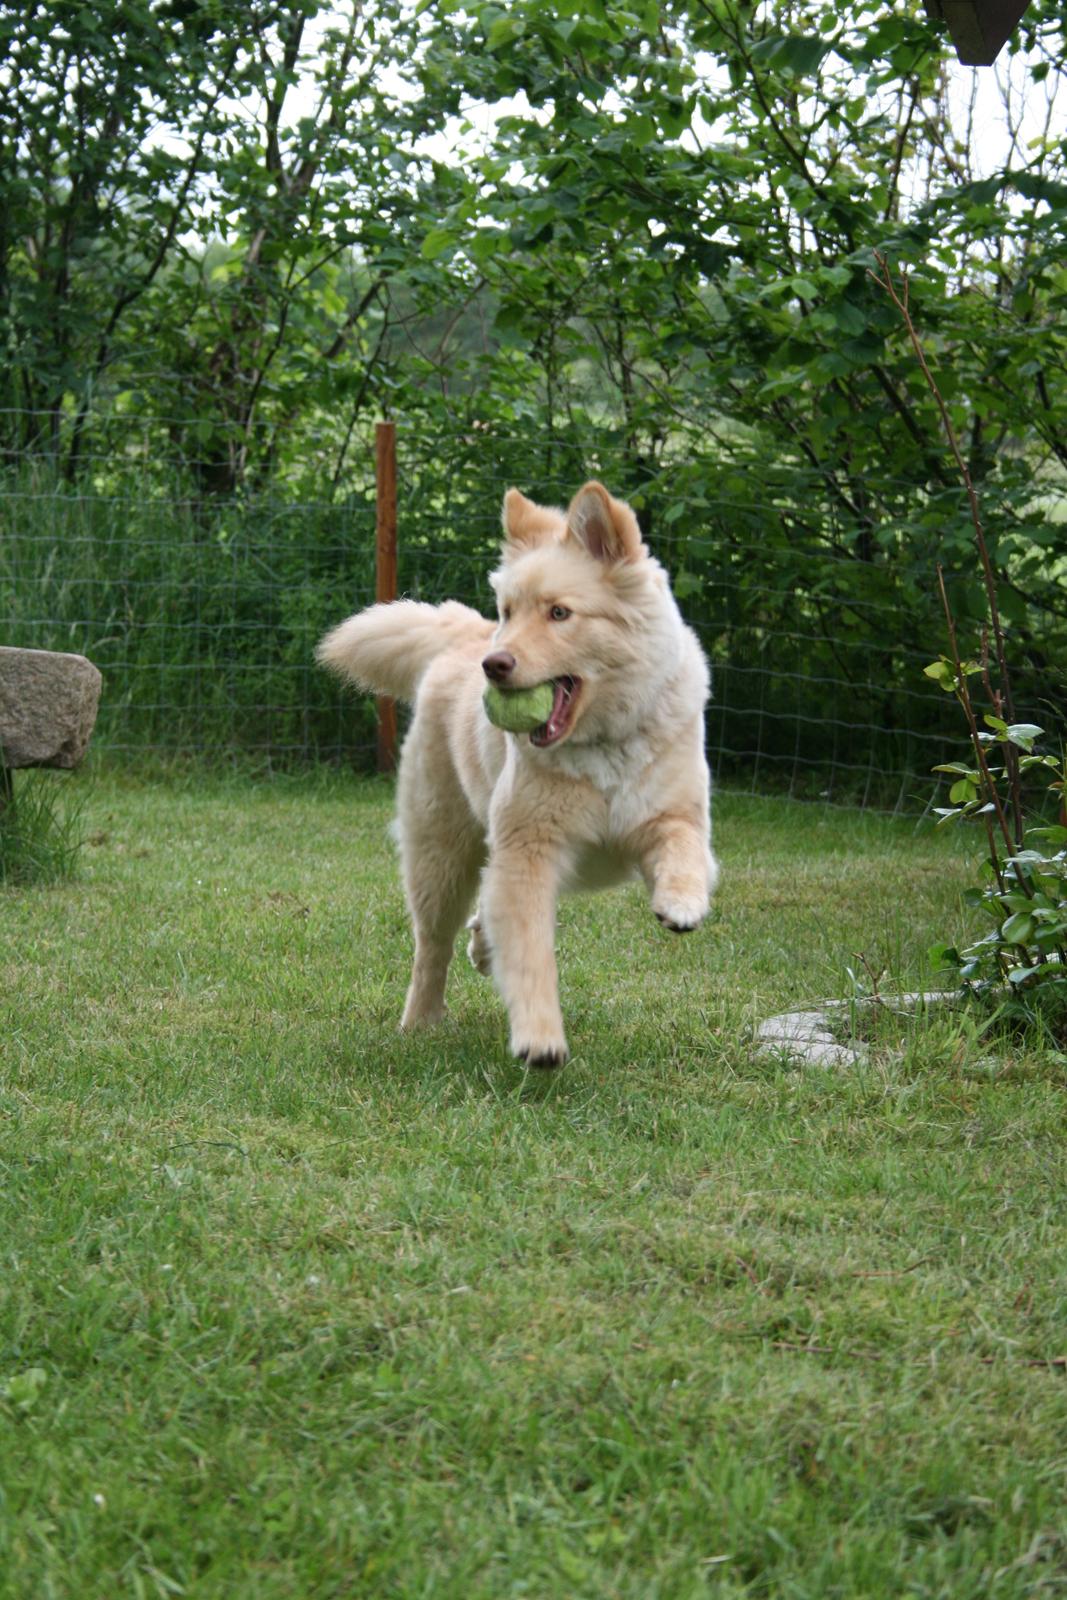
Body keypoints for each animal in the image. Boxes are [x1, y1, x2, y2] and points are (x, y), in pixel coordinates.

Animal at [316, 480, 716, 1068]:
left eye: (559, 613)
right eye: (510, 610)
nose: (495, 665)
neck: (601, 746)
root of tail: (470, 635)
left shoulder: (672, 816)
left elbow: (683, 845)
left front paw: (682, 903)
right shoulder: (529, 852)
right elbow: (530, 957)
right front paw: (540, 1039)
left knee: (481, 910)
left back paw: (481, 948)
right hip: (440, 857)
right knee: (432, 946)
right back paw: (421, 1021)